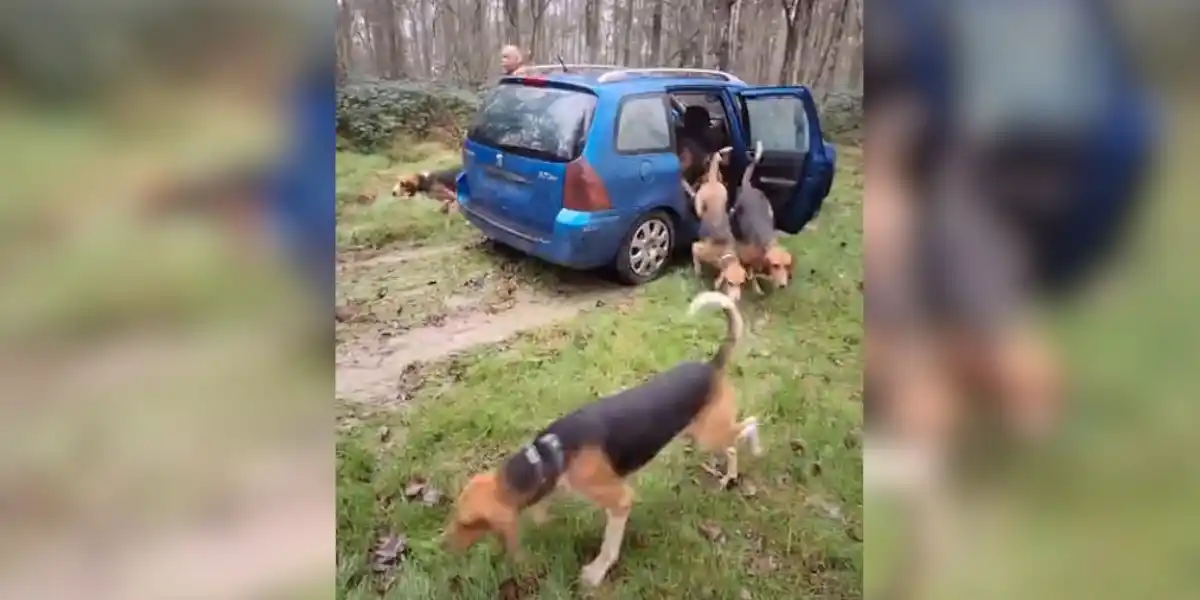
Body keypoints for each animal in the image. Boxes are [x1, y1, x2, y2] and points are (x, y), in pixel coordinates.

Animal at [446, 292, 763, 588]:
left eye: (467, 523)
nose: (445, 547)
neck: (548, 455)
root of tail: (712, 366)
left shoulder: (620, 500)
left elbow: (609, 546)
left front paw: (596, 572)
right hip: (699, 434)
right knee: (731, 445)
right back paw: (728, 476)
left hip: (710, 435)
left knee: (749, 425)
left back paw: (754, 449)